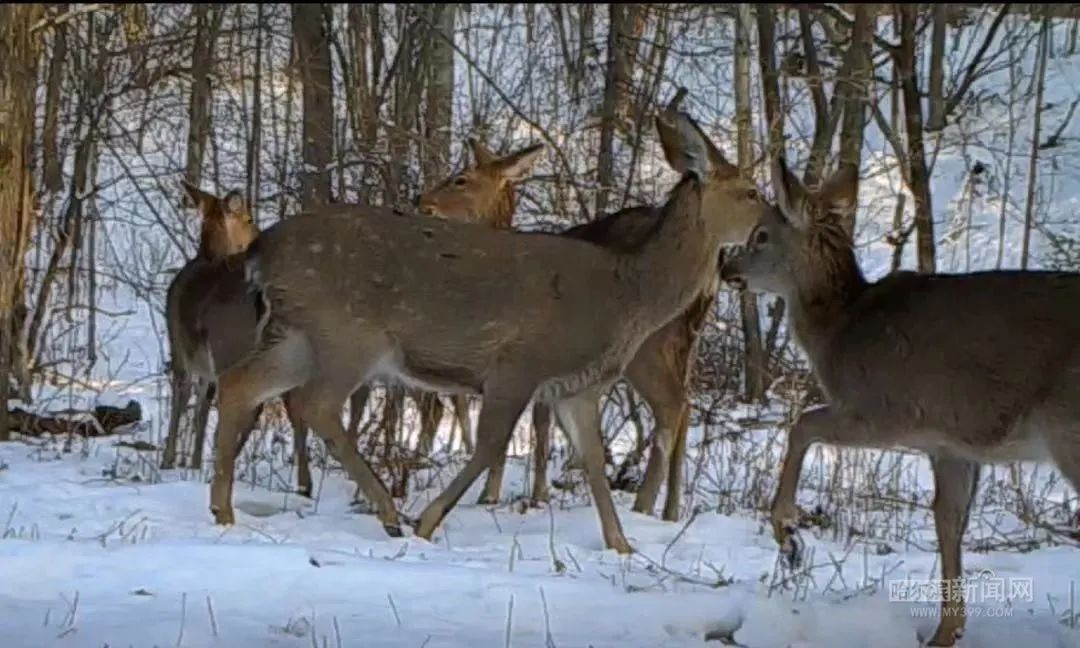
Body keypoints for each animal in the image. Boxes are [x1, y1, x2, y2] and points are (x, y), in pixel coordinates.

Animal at [419, 132, 725, 520]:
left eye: (461, 179)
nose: (422, 200)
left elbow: (537, 421)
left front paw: (507, 495)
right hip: (688, 343)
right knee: (687, 405)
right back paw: (671, 509)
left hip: (650, 345)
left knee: (673, 404)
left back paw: (644, 507)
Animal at [717, 157, 1080, 648]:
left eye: (761, 235)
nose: (725, 267)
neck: (837, 332)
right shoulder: (951, 447)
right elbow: (948, 521)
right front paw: (946, 631)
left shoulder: (882, 409)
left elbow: (801, 424)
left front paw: (786, 531)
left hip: (1067, 428)